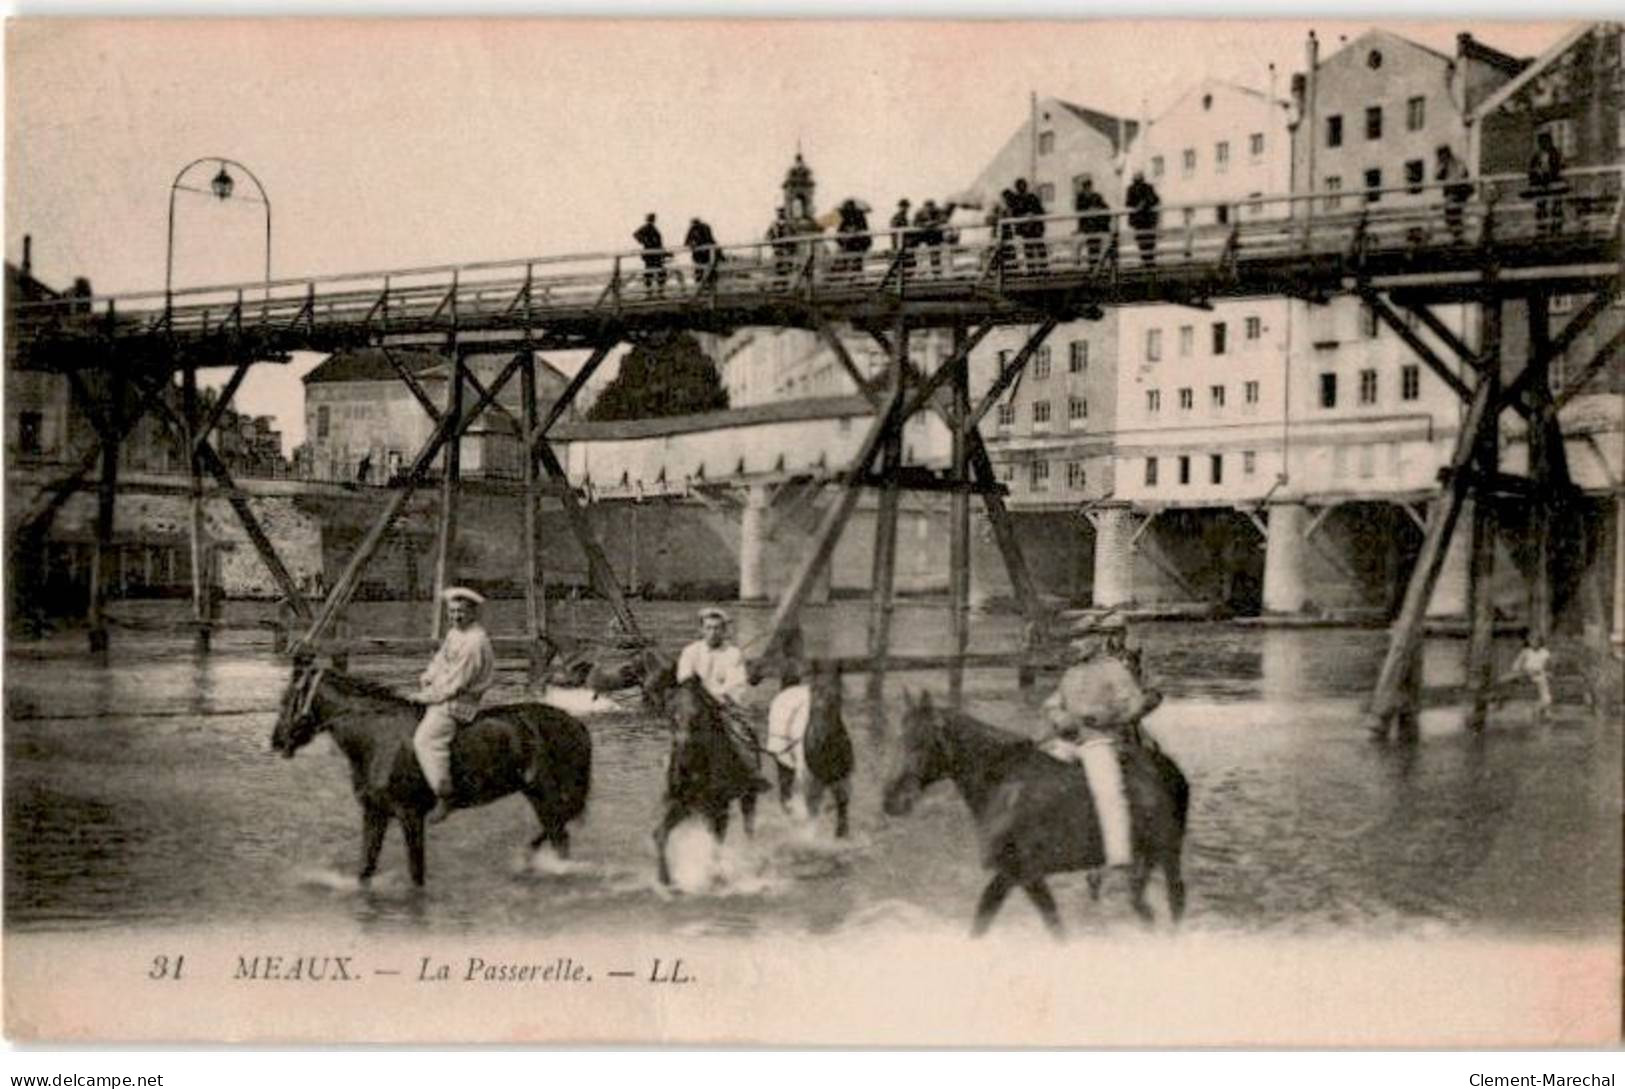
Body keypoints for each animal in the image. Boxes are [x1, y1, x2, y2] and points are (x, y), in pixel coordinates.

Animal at [269, 656, 594, 884]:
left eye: (286, 699)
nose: (276, 741)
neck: (377, 736)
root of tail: (575, 723)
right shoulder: (375, 813)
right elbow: (366, 868)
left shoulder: (410, 815)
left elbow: (416, 874)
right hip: (538, 796)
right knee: (556, 835)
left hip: (547, 796)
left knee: (560, 838)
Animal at [650, 672, 770, 884]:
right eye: (671, 715)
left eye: (697, 715)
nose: (683, 758)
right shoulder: (682, 803)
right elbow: (661, 834)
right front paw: (665, 879)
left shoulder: (720, 806)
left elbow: (716, 842)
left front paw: (716, 875)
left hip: (747, 796)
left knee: (748, 827)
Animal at [884, 692, 1189, 936]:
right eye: (899, 738)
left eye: (921, 742)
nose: (891, 800)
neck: (1004, 782)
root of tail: (1168, 768)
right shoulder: (1013, 875)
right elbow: (986, 920)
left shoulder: (1022, 873)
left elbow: (1048, 924)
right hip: (1144, 859)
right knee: (1144, 907)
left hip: (1168, 852)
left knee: (1175, 901)